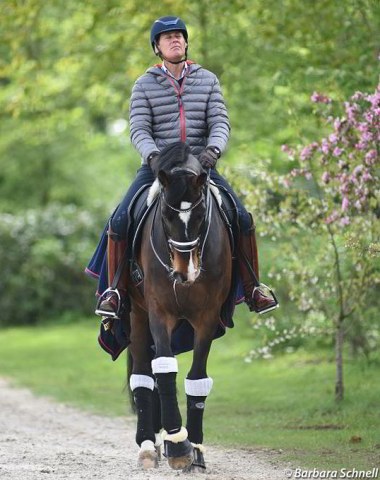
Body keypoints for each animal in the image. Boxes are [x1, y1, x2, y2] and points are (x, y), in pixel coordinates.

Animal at [127, 142, 232, 472]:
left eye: (199, 214)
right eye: (166, 215)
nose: (185, 272)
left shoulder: (207, 318)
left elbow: (197, 380)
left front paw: (194, 449)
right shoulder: (159, 313)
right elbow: (164, 369)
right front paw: (176, 443)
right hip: (136, 316)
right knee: (143, 376)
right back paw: (148, 446)